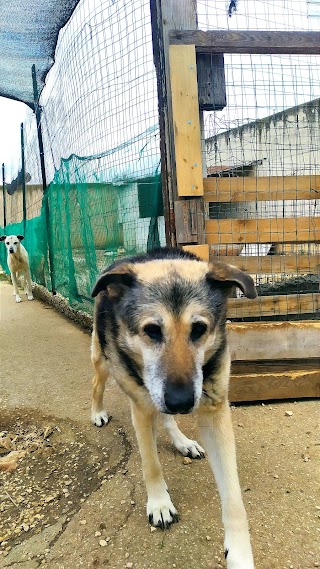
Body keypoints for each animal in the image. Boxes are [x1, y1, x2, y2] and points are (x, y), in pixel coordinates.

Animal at [91, 246, 256, 564]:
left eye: (199, 329)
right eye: (152, 330)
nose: (181, 402)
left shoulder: (214, 412)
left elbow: (234, 495)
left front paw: (240, 553)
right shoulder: (142, 407)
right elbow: (151, 464)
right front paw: (159, 503)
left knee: (166, 418)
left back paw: (182, 441)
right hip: (102, 360)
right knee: (97, 385)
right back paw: (97, 412)